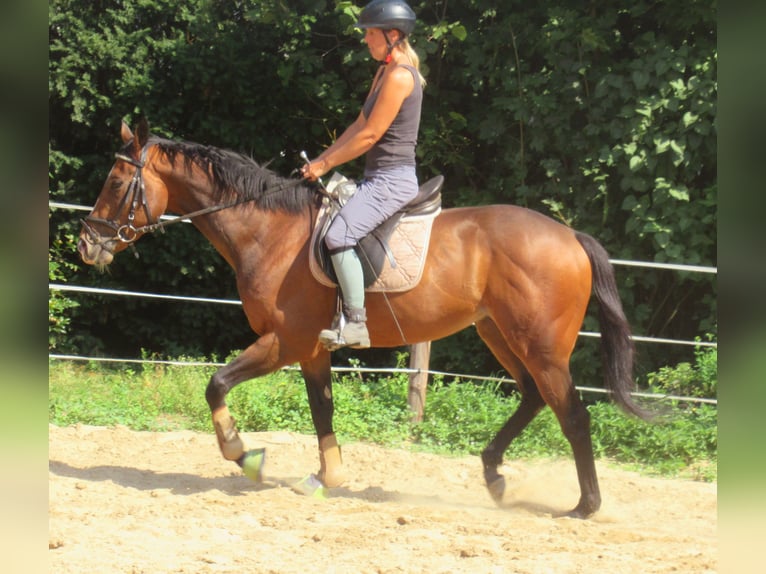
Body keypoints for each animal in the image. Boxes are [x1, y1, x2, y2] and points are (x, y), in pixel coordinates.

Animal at [81, 119, 652, 520]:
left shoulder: (286, 340)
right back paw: (494, 476)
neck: (270, 232)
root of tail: (570, 236)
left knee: (573, 415)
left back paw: (585, 506)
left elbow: (216, 383)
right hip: (500, 334)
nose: (88, 243)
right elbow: (322, 410)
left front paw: (242, 453)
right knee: (535, 397)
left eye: (115, 180)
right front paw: (326, 477)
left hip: (541, 345)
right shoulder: (312, 349)